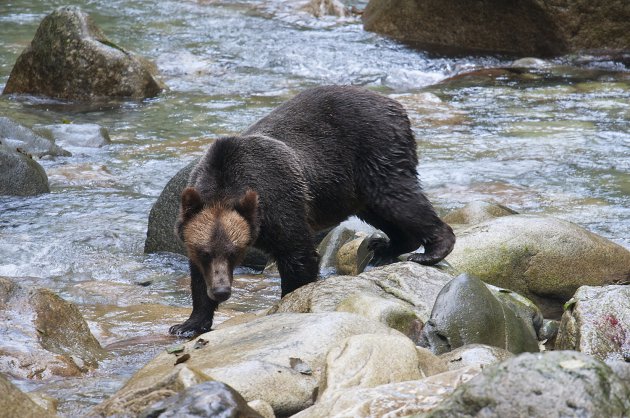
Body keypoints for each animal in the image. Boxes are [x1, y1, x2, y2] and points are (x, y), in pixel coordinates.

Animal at [173, 85, 456, 336]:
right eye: (205, 252)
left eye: (234, 252)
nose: (221, 291)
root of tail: (395, 105)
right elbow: (197, 277)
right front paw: (189, 324)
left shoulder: (279, 200)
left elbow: (298, 254)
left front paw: (290, 300)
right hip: (355, 187)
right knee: (379, 209)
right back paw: (385, 249)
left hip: (376, 152)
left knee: (399, 198)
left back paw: (431, 251)